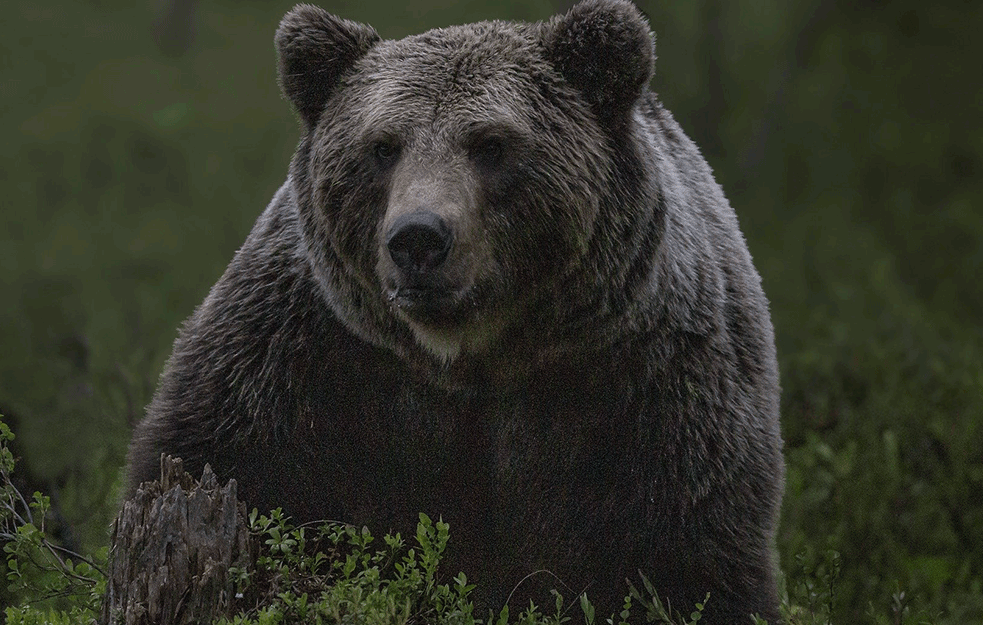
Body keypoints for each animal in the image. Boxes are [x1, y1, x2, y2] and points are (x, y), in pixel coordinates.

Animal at [125, 2, 784, 620]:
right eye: (382, 147)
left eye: (491, 145)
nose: (418, 239)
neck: (471, 356)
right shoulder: (303, 359)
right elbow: (228, 465)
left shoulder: (647, 384)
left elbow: (685, 558)